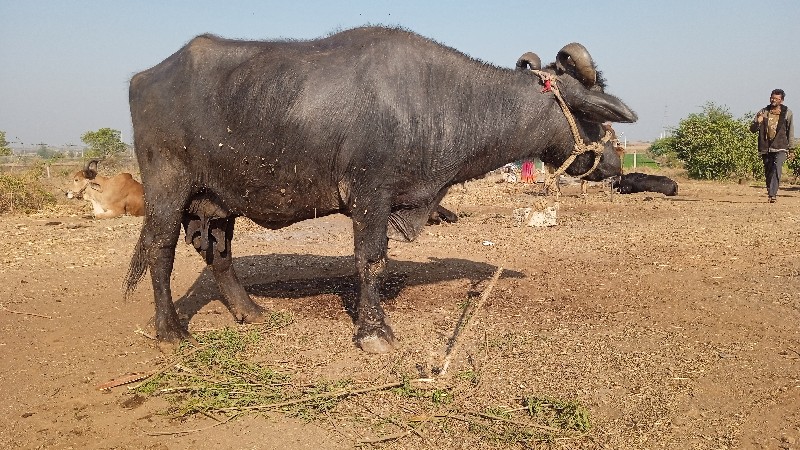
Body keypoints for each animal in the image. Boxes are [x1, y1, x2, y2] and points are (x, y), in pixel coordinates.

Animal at [125, 26, 636, 354]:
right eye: (590, 114)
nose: (614, 162)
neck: (439, 99)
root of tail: (144, 77)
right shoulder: (370, 196)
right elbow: (370, 260)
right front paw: (373, 332)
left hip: (218, 201)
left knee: (218, 252)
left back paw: (249, 311)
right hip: (167, 190)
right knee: (160, 252)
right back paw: (170, 330)